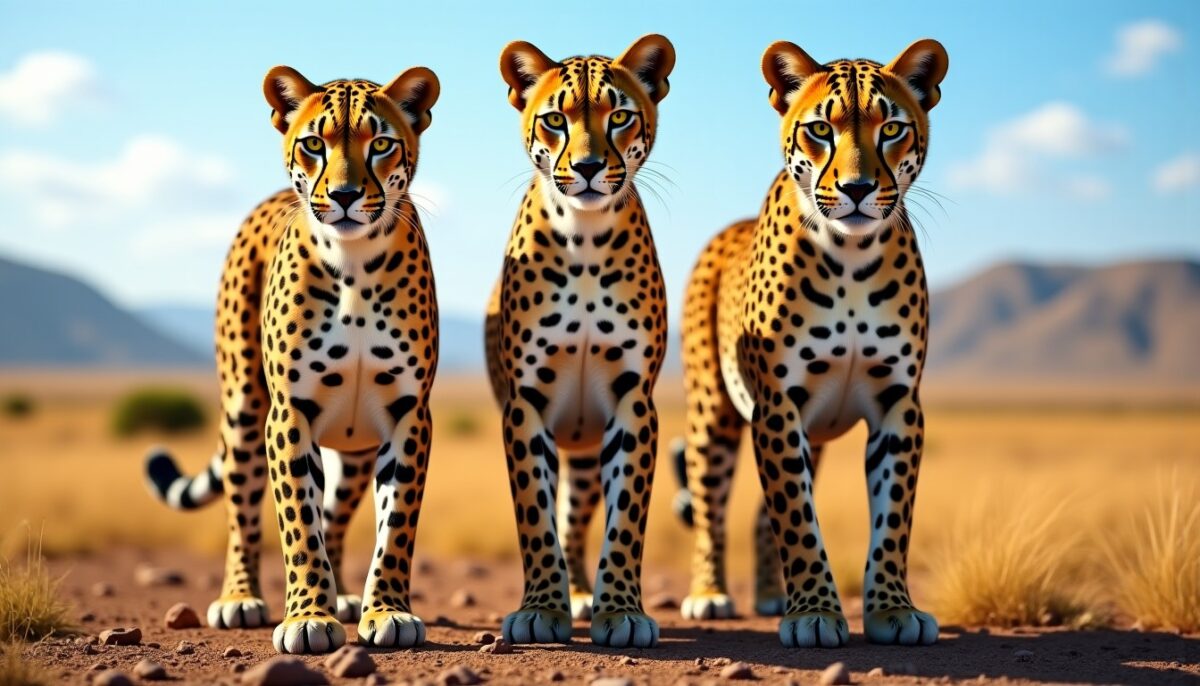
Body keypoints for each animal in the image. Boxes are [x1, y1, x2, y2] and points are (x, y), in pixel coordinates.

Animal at [145, 63, 441, 654]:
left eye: (380, 144)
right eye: (313, 144)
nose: (345, 196)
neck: (354, 265)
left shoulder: (408, 414)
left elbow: (395, 525)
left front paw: (386, 610)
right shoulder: (289, 414)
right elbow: (298, 523)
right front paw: (308, 617)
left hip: (355, 446)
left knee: (338, 514)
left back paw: (346, 595)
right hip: (243, 409)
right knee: (243, 511)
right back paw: (240, 599)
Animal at [482, 34, 674, 648]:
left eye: (619, 115)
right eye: (554, 120)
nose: (588, 168)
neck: (585, 239)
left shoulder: (633, 402)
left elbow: (625, 520)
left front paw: (619, 611)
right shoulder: (525, 405)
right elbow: (534, 516)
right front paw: (542, 608)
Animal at [670, 38, 949, 648]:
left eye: (891, 129)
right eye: (821, 129)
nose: (857, 189)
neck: (850, 256)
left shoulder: (899, 405)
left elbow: (892, 518)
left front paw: (893, 609)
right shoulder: (777, 405)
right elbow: (797, 518)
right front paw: (816, 613)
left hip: (814, 433)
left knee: (759, 512)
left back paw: (771, 594)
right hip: (713, 414)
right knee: (710, 507)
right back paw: (709, 593)